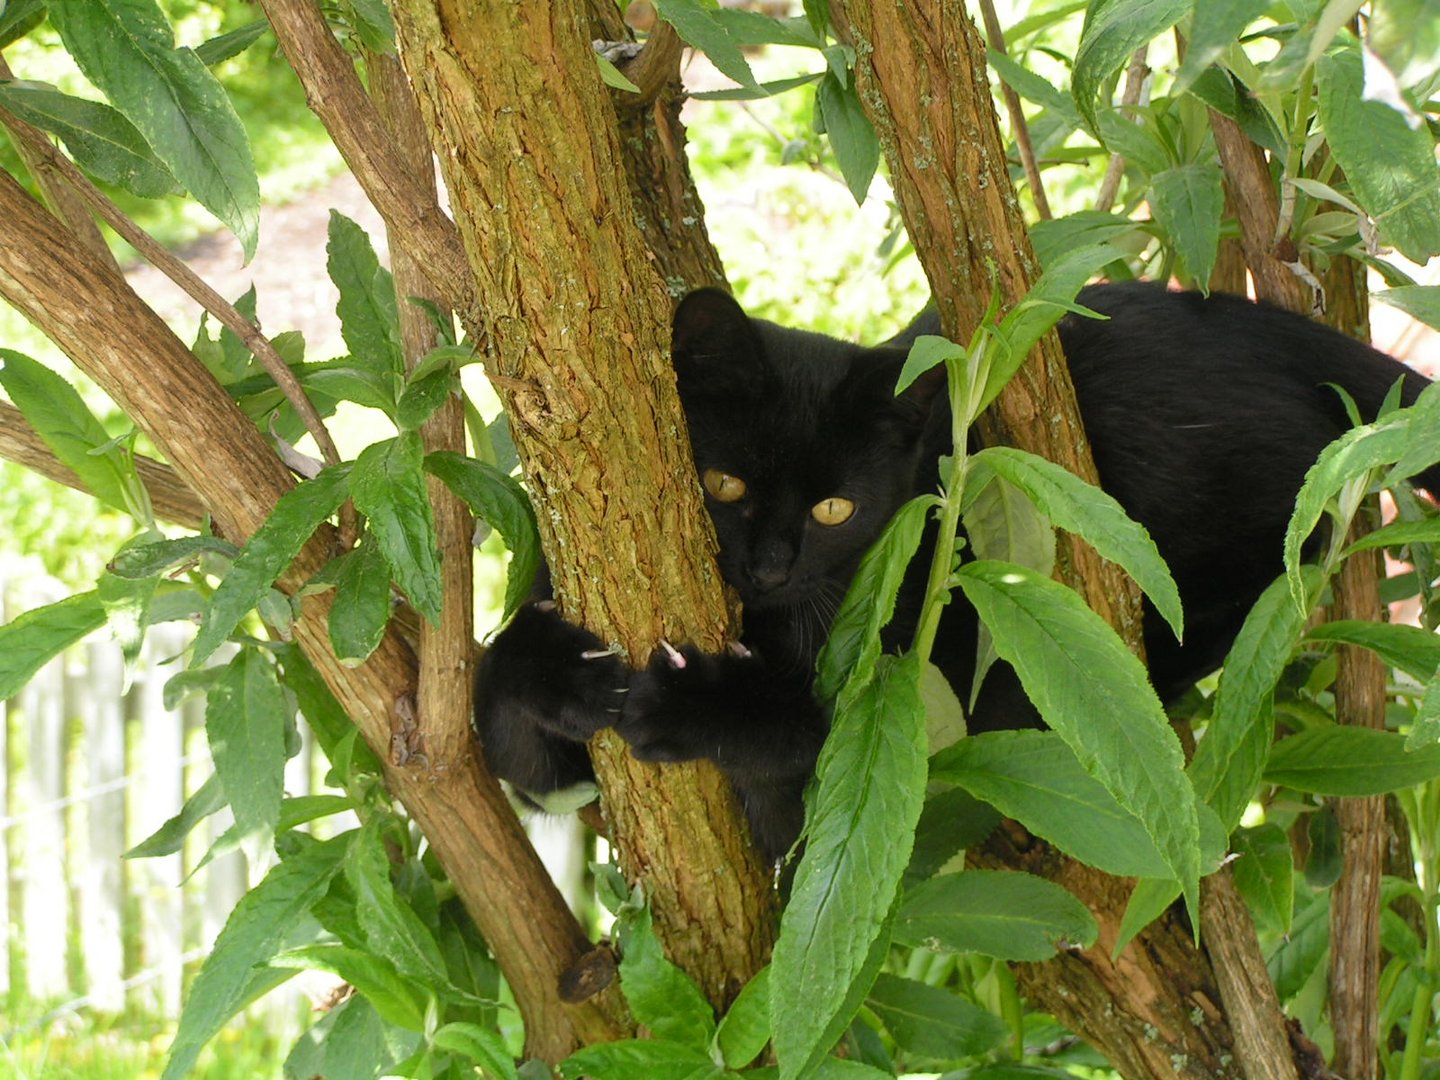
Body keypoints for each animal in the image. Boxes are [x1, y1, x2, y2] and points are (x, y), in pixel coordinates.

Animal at [475, 285, 1440, 864]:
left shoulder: (905, 698)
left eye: (836, 509)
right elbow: (506, 731)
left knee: (1288, 566)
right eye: (725, 486)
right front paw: (552, 669)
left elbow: (814, 729)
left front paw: (696, 704)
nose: (769, 566)